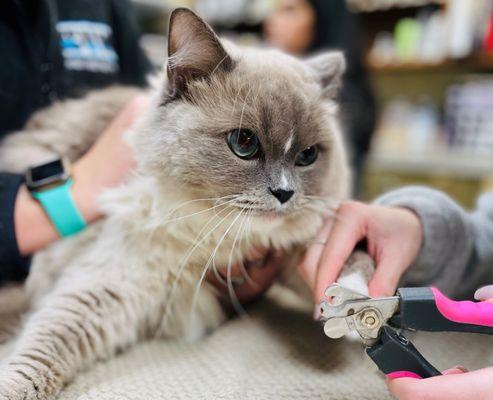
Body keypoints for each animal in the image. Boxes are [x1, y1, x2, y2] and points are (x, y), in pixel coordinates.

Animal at [0, 7, 370, 398]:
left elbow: (351, 261)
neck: (214, 234)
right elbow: (42, 351)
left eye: (307, 156)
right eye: (244, 143)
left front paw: (353, 306)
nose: (285, 193)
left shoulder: (285, 250)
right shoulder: (104, 287)